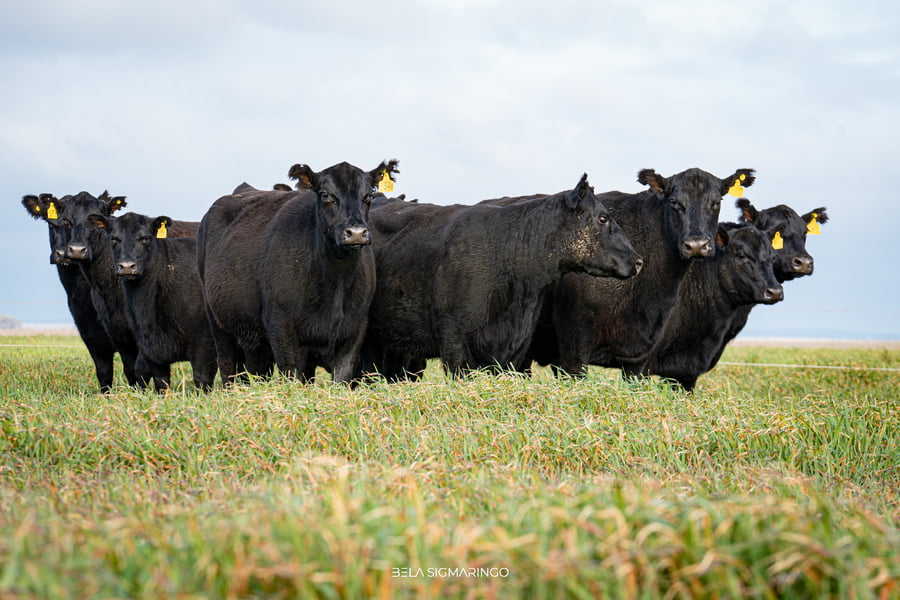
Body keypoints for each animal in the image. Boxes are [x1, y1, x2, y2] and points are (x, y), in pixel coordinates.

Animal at [62, 190, 199, 389]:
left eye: (94, 220)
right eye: (65, 220)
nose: (77, 250)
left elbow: (141, 369)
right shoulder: (117, 334)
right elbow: (127, 370)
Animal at [87, 212, 217, 391]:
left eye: (145, 238)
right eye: (114, 238)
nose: (127, 266)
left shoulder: (204, 344)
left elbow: (202, 379)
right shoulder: (149, 348)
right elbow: (161, 382)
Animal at [197, 160, 393, 385]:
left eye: (368, 195)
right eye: (325, 194)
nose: (357, 233)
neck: (335, 284)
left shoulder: (355, 329)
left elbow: (342, 377)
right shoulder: (281, 328)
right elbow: (292, 375)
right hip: (218, 322)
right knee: (227, 365)